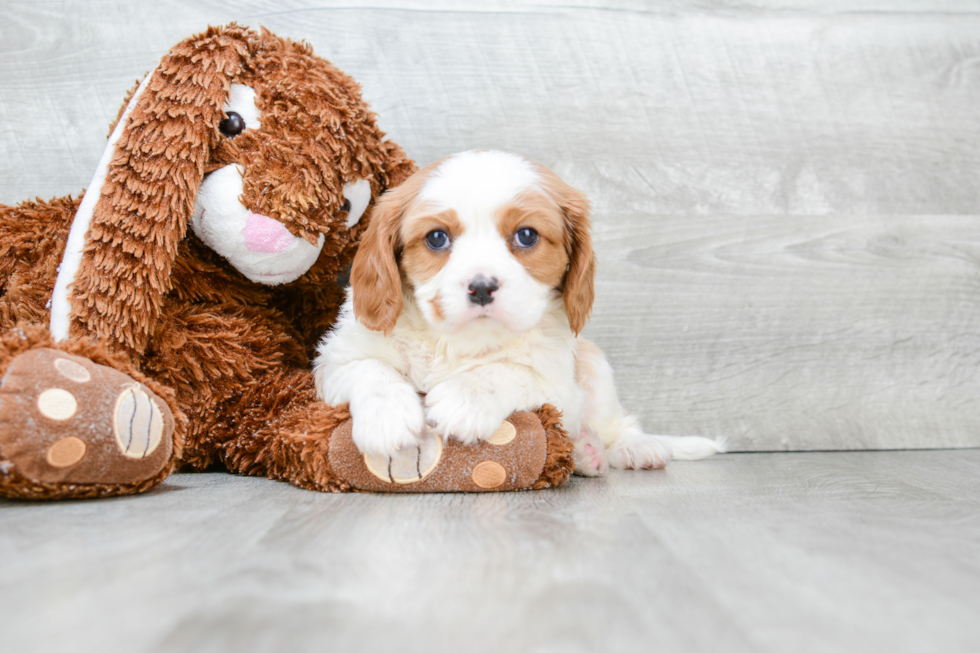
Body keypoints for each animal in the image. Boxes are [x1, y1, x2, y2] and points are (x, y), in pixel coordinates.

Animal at [318, 149, 724, 474]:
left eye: (526, 235)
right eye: (436, 238)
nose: (482, 286)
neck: (458, 341)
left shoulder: (559, 383)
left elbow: (510, 371)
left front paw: (465, 398)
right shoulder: (334, 363)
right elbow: (371, 370)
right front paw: (387, 419)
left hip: (595, 366)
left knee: (617, 422)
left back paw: (630, 447)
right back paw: (586, 453)